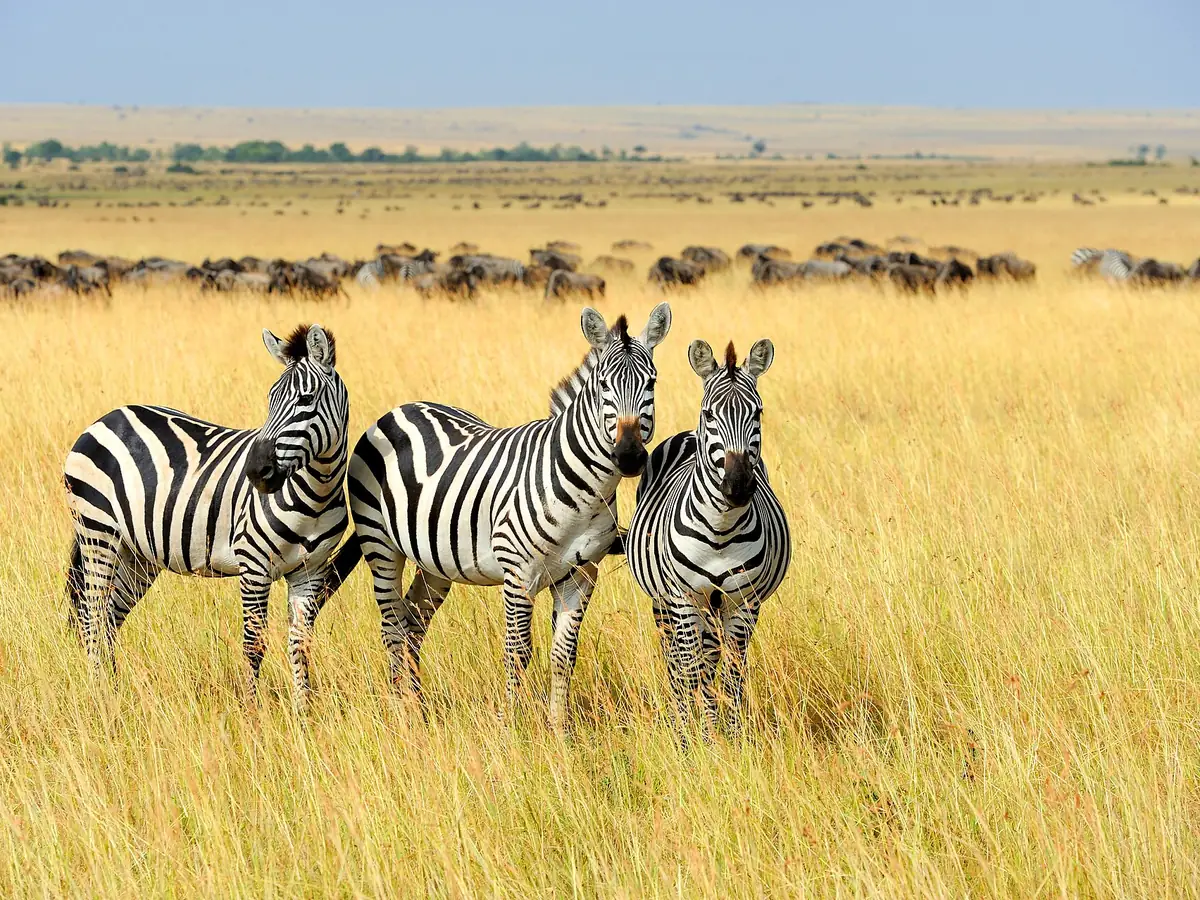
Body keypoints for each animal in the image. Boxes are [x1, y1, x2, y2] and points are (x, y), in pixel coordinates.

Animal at [63, 324, 349, 710]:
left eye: (306, 399)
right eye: (270, 398)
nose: (257, 471)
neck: (316, 494)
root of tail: (107, 417)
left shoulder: (311, 572)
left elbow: (300, 644)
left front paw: (303, 714)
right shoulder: (253, 565)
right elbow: (254, 644)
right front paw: (251, 712)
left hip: (137, 554)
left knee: (109, 619)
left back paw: (115, 694)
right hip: (98, 533)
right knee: (92, 617)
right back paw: (99, 698)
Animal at [326, 303, 672, 727]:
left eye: (651, 384)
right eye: (603, 386)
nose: (630, 456)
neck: (585, 491)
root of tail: (400, 409)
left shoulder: (582, 575)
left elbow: (564, 655)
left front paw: (558, 730)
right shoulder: (518, 574)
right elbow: (517, 652)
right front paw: (515, 727)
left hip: (435, 561)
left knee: (412, 624)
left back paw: (419, 711)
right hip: (380, 544)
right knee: (392, 625)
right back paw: (402, 715)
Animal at [625, 338, 790, 737]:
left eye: (758, 413)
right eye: (710, 414)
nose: (738, 486)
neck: (721, 528)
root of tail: (686, 433)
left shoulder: (744, 602)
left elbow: (731, 673)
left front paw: (730, 735)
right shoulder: (683, 599)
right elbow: (690, 670)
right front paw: (693, 737)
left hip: (716, 607)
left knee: (714, 658)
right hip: (665, 603)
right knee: (676, 659)